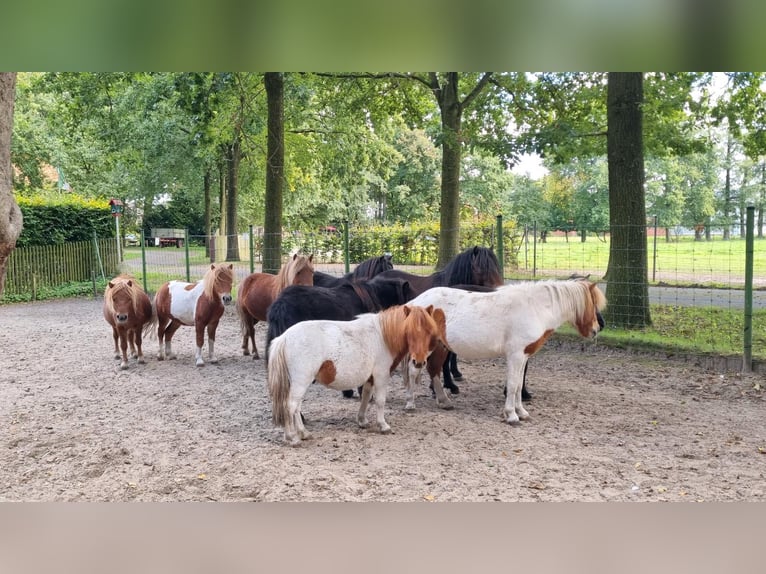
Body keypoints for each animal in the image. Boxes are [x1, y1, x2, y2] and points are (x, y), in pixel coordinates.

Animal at [270, 304, 450, 448]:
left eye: (429, 332)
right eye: (409, 331)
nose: (418, 362)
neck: (383, 336)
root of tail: (284, 337)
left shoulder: (370, 378)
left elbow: (366, 396)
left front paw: (362, 420)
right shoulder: (381, 375)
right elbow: (380, 401)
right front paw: (383, 425)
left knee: (297, 407)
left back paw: (303, 433)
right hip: (302, 381)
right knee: (290, 406)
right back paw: (292, 437)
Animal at [404, 280, 608, 424]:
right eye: (593, 304)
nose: (597, 329)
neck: (533, 307)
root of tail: (415, 303)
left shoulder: (523, 356)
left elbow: (518, 385)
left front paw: (522, 412)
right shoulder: (515, 355)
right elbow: (512, 384)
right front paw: (511, 415)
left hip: (439, 346)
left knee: (434, 371)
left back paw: (444, 401)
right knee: (414, 371)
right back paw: (410, 404)